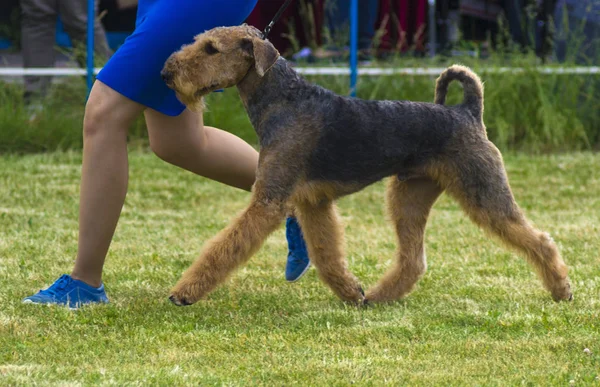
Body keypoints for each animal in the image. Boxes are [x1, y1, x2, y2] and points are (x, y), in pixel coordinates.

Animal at [159, 24, 572, 308]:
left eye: (211, 48)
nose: (166, 73)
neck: (285, 100)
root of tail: (468, 111)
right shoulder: (312, 202)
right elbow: (327, 254)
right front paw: (350, 292)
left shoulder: (269, 201)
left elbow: (226, 246)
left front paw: (184, 292)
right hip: (408, 196)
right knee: (413, 259)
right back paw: (377, 296)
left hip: (483, 191)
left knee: (540, 240)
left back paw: (562, 290)